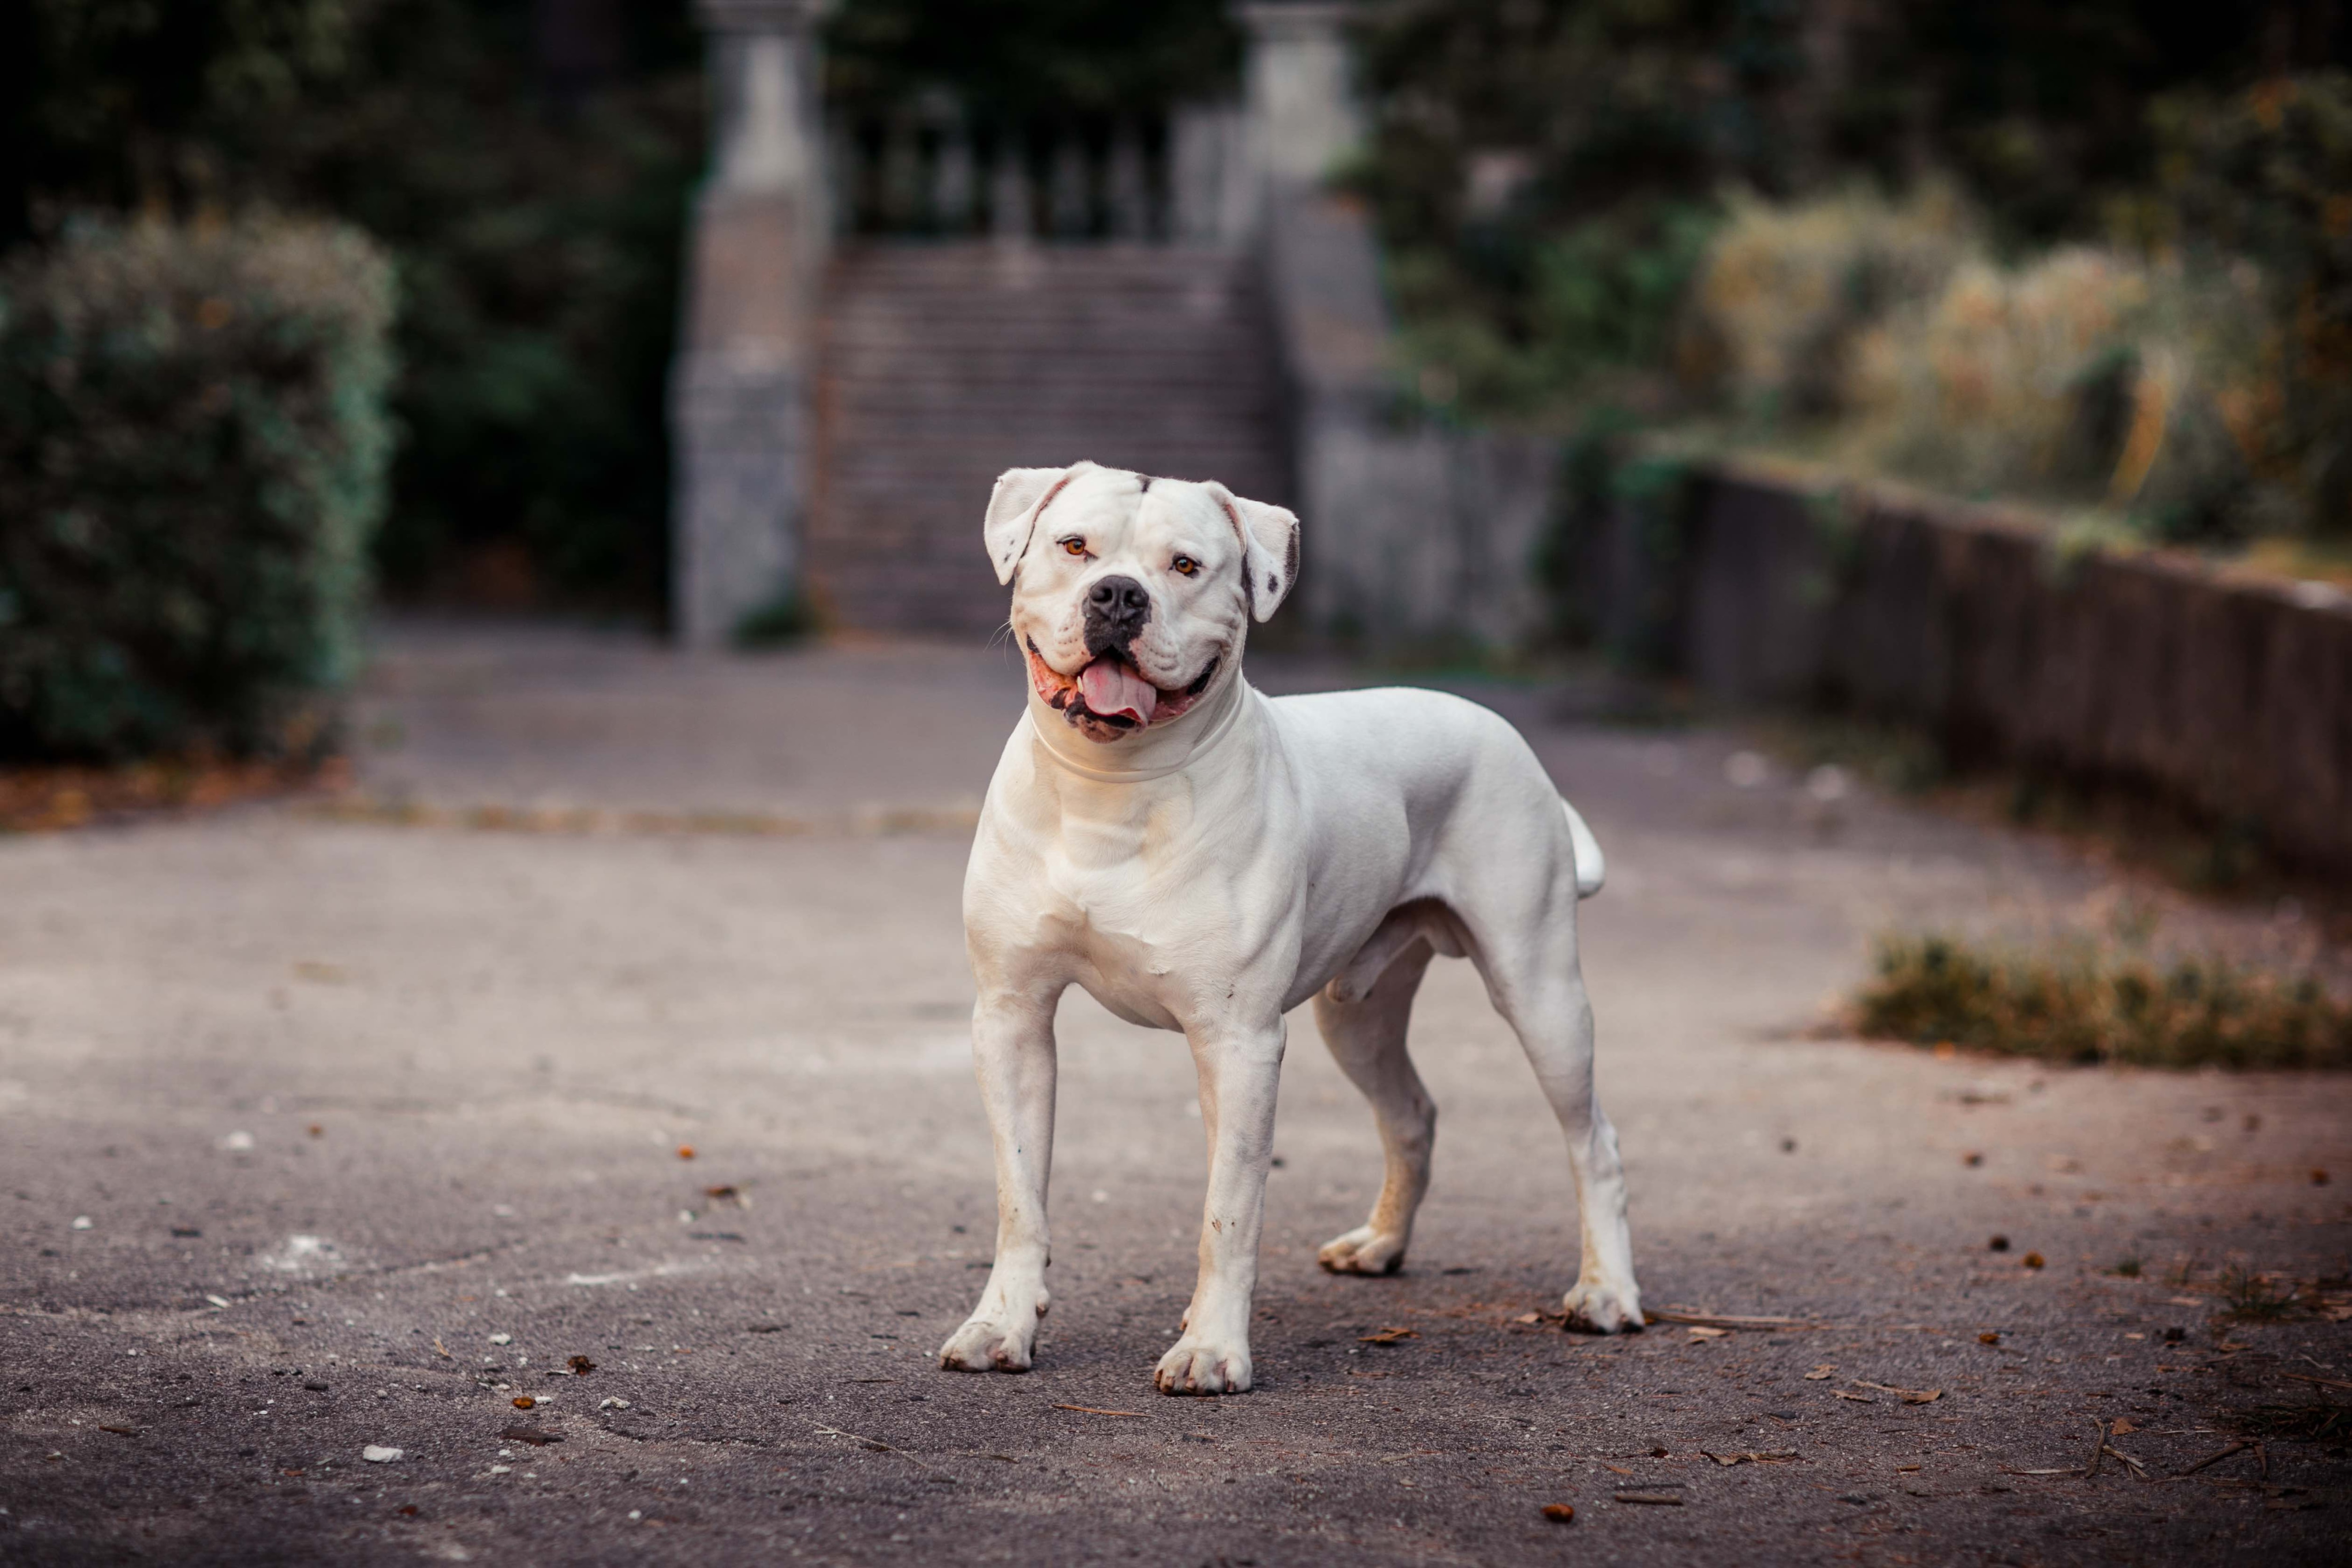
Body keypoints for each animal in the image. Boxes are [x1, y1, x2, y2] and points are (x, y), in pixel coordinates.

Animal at [931, 461, 1637, 1392]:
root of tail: (1499, 726)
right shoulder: (1012, 1018)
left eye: (1186, 565)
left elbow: (1228, 1212)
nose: (1118, 594)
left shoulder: (1239, 1042)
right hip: (1358, 1014)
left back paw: (1608, 1292)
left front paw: (1210, 1348)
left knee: (1593, 1139)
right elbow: (1021, 1197)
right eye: (1074, 546)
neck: (1109, 791)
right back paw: (1381, 1244)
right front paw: (1001, 1324)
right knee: (1412, 1112)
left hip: (1540, 989)